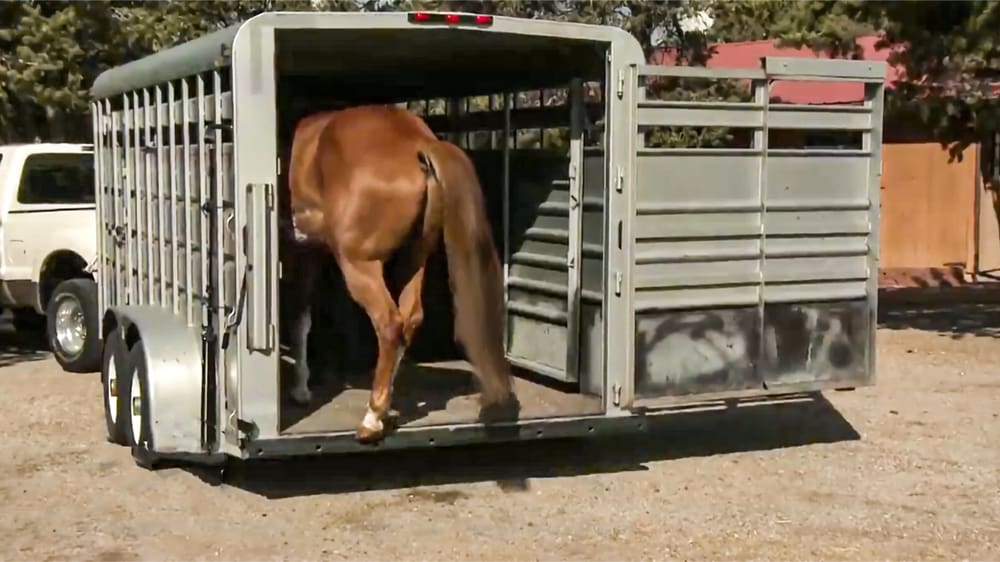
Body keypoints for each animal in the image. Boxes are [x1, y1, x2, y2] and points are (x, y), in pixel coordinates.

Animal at [279, 104, 515, 443]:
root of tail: (416, 140)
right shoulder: (310, 252)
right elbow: (307, 319)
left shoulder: (297, 252)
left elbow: (298, 318)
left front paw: (300, 390)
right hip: (414, 257)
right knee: (410, 319)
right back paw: (385, 408)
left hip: (359, 265)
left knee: (389, 324)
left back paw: (371, 418)